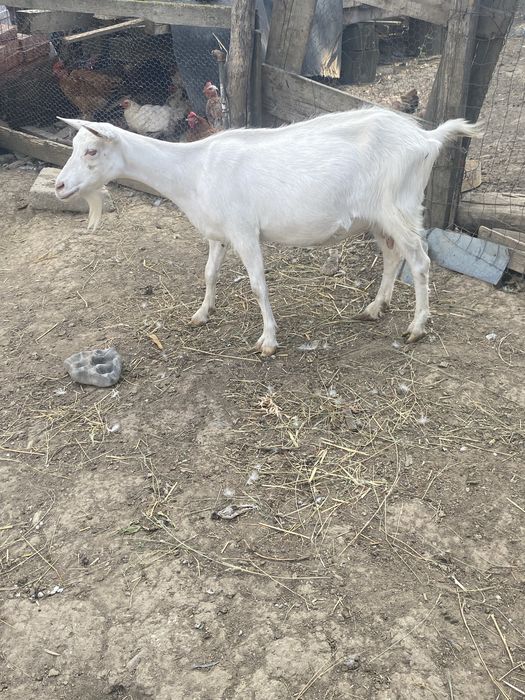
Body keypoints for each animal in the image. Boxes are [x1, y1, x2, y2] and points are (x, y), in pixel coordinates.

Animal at [55, 108, 481, 355]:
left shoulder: (245, 231)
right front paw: (202, 314)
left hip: (400, 207)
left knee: (420, 261)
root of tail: (426, 139)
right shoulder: (219, 233)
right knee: (394, 256)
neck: (193, 170)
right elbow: (209, 274)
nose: (59, 186)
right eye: (74, 145)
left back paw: (417, 327)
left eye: (92, 151)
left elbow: (258, 285)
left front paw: (269, 341)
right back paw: (376, 308)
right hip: (377, 216)